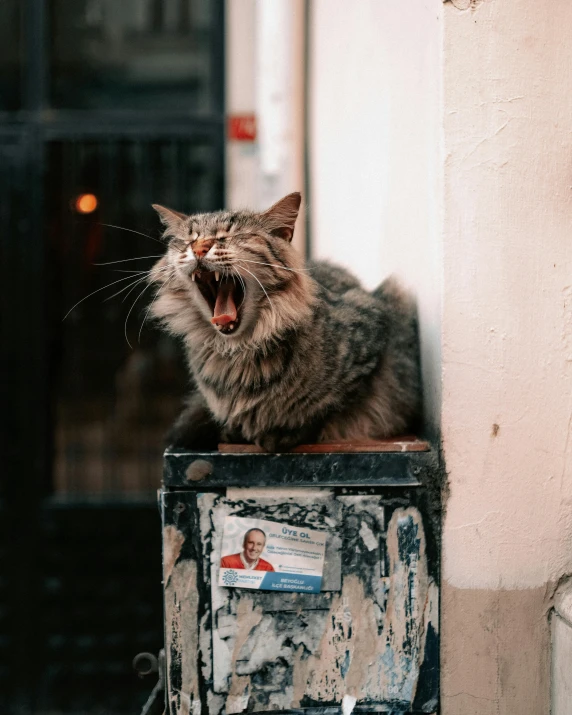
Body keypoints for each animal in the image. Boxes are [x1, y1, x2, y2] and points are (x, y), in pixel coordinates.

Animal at [147, 194, 420, 454]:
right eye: (189, 240)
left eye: (229, 236)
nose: (200, 248)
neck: (239, 350)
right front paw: (235, 432)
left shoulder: (371, 337)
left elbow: (322, 410)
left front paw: (280, 434)